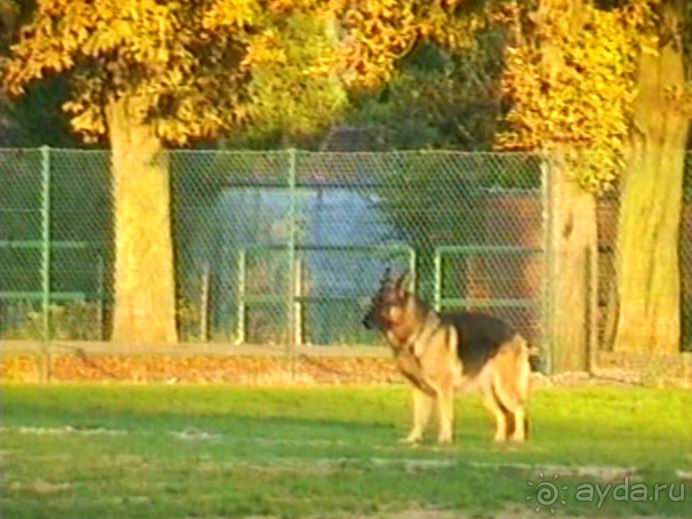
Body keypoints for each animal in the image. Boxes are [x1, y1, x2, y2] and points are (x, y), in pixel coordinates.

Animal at [364, 270, 532, 444]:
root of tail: (516, 334)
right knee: (503, 414)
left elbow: (445, 415)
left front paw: (444, 439)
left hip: (504, 388)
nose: (364, 321)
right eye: (373, 302)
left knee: (520, 409)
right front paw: (413, 439)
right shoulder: (419, 390)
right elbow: (419, 418)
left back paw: (518, 438)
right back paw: (499, 439)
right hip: (486, 393)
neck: (415, 334)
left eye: (384, 303)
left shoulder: (444, 388)